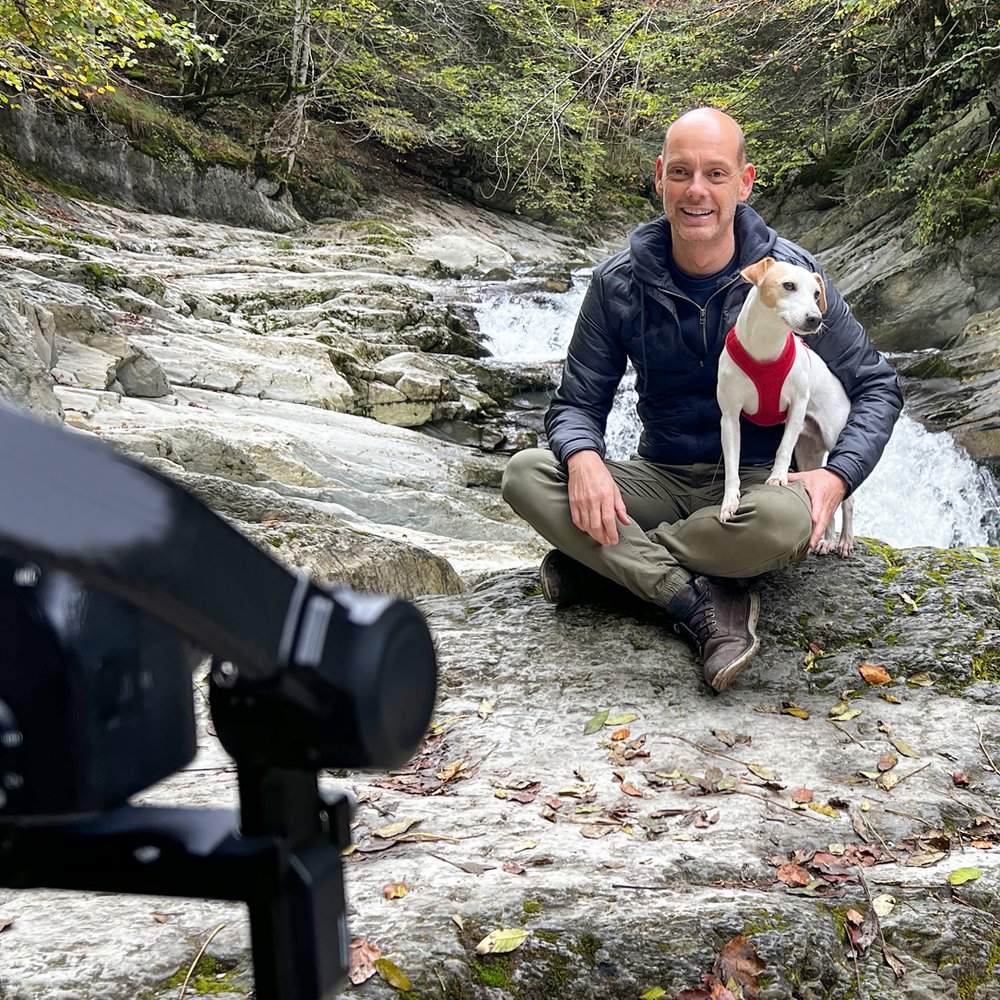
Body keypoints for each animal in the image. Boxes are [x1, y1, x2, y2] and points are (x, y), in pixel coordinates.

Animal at [716, 256, 856, 556]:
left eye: (816, 294)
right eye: (788, 286)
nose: (815, 318)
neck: (766, 345)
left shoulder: (798, 405)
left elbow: (782, 448)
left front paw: (778, 478)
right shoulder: (729, 417)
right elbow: (732, 465)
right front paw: (729, 501)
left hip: (833, 435)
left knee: (847, 500)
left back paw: (844, 540)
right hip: (808, 454)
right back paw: (827, 539)